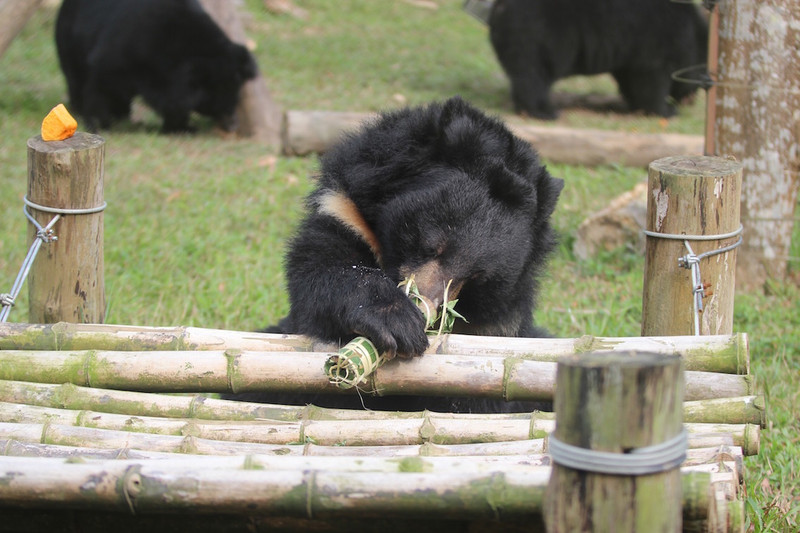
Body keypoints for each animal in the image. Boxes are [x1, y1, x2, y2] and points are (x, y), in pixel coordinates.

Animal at [55, 0, 256, 132]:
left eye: (235, 99)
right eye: (219, 103)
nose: (233, 125)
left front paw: (182, 127)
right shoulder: (121, 48)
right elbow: (101, 82)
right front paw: (99, 123)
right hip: (68, 42)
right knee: (75, 78)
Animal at [260, 96, 564, 412]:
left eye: (476, 278)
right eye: (431, 245)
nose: (427, 306)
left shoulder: (497, 323)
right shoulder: (343, 209)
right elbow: (323, 270)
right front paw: (398, 322)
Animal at [488, 0, 708, 119]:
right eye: (702, 80)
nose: (690, 101)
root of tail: (501, 6)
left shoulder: (629, 52)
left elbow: (631, 78)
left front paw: (636, 105)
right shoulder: (659, 37)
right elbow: (652, 77)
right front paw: (666, 110)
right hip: (537, 31)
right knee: (536, 73)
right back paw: (543, 111)